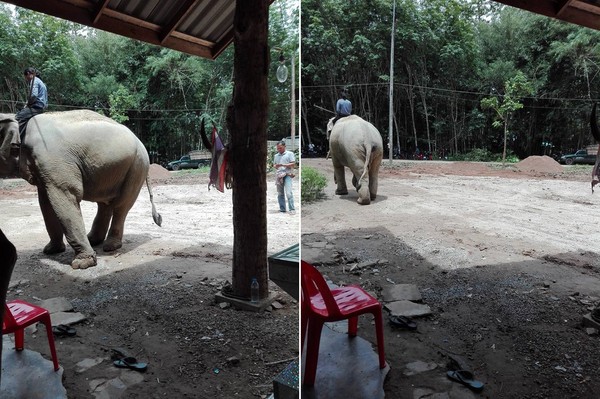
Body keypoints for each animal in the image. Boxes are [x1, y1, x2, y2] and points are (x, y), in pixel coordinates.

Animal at [0, 111, 162, 270]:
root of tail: (140, 142)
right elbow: (45, 202)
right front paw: (51, 250)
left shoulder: (53, 161)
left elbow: (66, 195)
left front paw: (82, 264)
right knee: (105, 204)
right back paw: (93, 240)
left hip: (136, 166)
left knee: (121, 206)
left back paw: (110, 246)